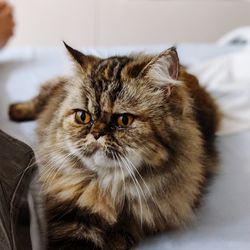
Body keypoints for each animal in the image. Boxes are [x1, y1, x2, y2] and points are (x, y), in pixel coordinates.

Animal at [8, 43, 221, 250]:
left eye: (123, 120)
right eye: (83, 117)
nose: (96, 133)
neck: (107, 188)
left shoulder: (132, 226)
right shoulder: (69, 217)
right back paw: (15, 111)